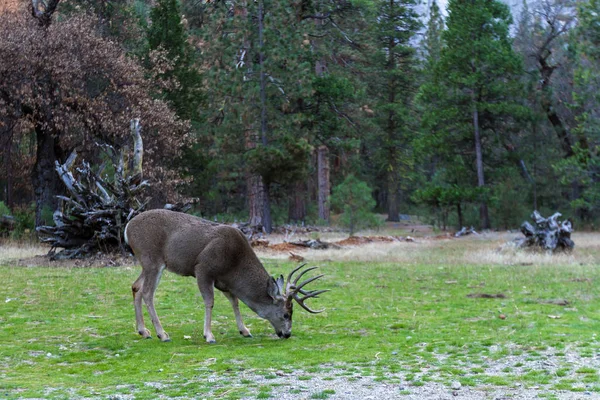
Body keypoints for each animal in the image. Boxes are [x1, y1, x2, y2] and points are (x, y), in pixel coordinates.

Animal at [123, 208, 328, 342]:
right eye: (286, 314)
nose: (287, 334)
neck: (234, 263)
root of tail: (127, 228)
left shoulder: (224, 281)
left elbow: (234, 301)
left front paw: (244, 330)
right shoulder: (203, 268)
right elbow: (210, 301)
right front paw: (209, 335)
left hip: (147, 264)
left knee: (136, 286)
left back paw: (144, 331)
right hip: (152, 259)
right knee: (147, 293)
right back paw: (162, 334)